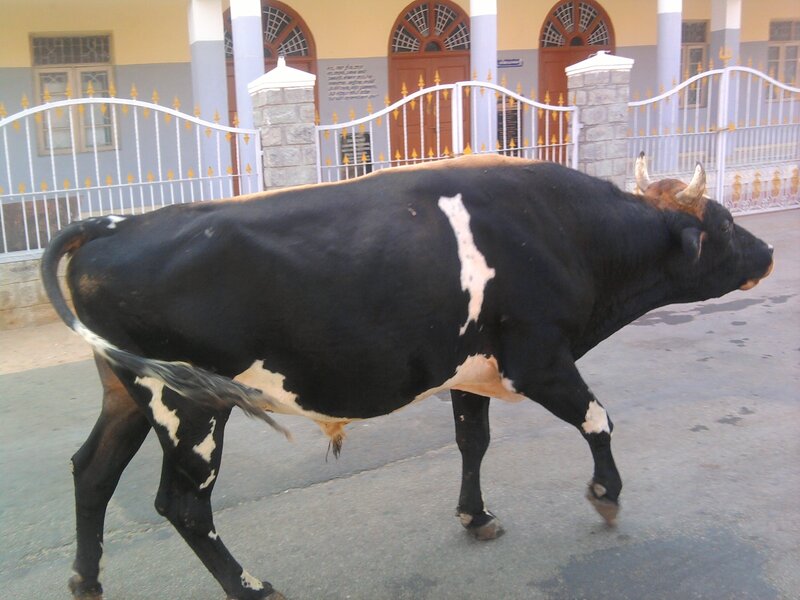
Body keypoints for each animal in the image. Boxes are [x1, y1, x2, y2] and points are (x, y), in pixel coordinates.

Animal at [40, 153, 773, 600]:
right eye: (725, 223)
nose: (768, 250)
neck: (565, 232)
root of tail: (117, 223)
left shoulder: (470, 370)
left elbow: (473, 441)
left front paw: (476, 516)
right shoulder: (538, 358)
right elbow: (598, 418)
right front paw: (605, 492)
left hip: (128, 392)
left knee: (90, 472)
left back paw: (86, 580)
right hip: (188, 404)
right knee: (184, 504)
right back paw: (251, 585)